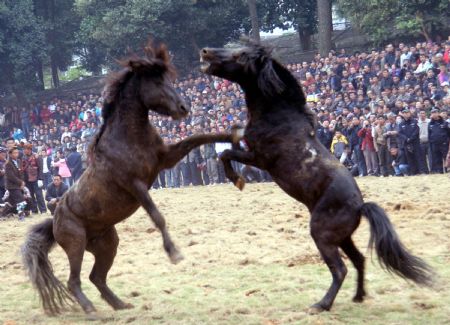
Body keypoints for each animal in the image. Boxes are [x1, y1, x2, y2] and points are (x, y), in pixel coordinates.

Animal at [20, 41, 237, 316]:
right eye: (157, 82)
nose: (184, 108)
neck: (129, 137)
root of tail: (54, 220)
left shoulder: (166, 159)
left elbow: (199, 137)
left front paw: (237, 134)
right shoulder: (135, 184)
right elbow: (157, 216)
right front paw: (174, 253)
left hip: (106, 244)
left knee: (96, 277)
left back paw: (120, 303)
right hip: (76, 244)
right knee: (74, 280)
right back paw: (91, 310)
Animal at [200, 40, 432, 312]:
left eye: (240, 55)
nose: (205, 52)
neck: (278, 114)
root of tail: (360, 206)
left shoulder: (259, 157)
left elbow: (226, 153)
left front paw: (236, 179)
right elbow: (227, 149)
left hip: (322, 235)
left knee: (340, 269)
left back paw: (322, 304)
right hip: (341, 238)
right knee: (359, 260)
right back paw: (358, 296)